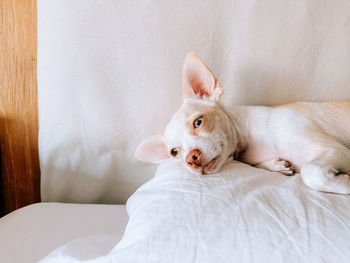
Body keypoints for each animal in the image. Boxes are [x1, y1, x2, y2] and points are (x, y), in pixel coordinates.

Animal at [136, 52, 350, 195]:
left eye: (198, 121)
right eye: (174, 152)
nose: (191, 158)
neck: (249, 140)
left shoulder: (337, 151)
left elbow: (311, 171)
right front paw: (278, 165)